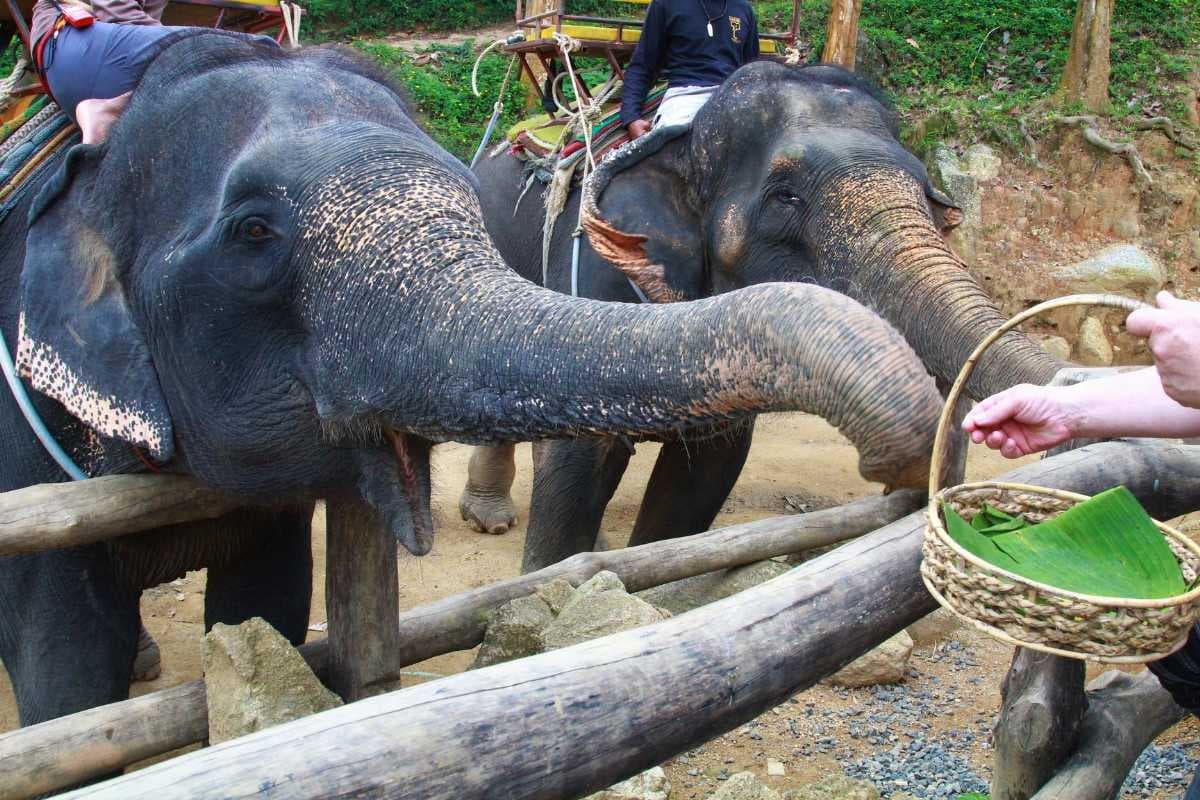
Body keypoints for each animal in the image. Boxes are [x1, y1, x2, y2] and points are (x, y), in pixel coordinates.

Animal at [0, 31, 946, 737]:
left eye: (936, 195)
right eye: (254, 232)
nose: (895, 473)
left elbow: (706, 469)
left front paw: (652, 596)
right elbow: (65, 655)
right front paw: (564, 602)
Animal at [459, 61, 1061, 572]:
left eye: (927, 194)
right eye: (786, 196)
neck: (681, 145)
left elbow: (703, 473)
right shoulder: (592, 273)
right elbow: (575, 458)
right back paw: (489, 519)